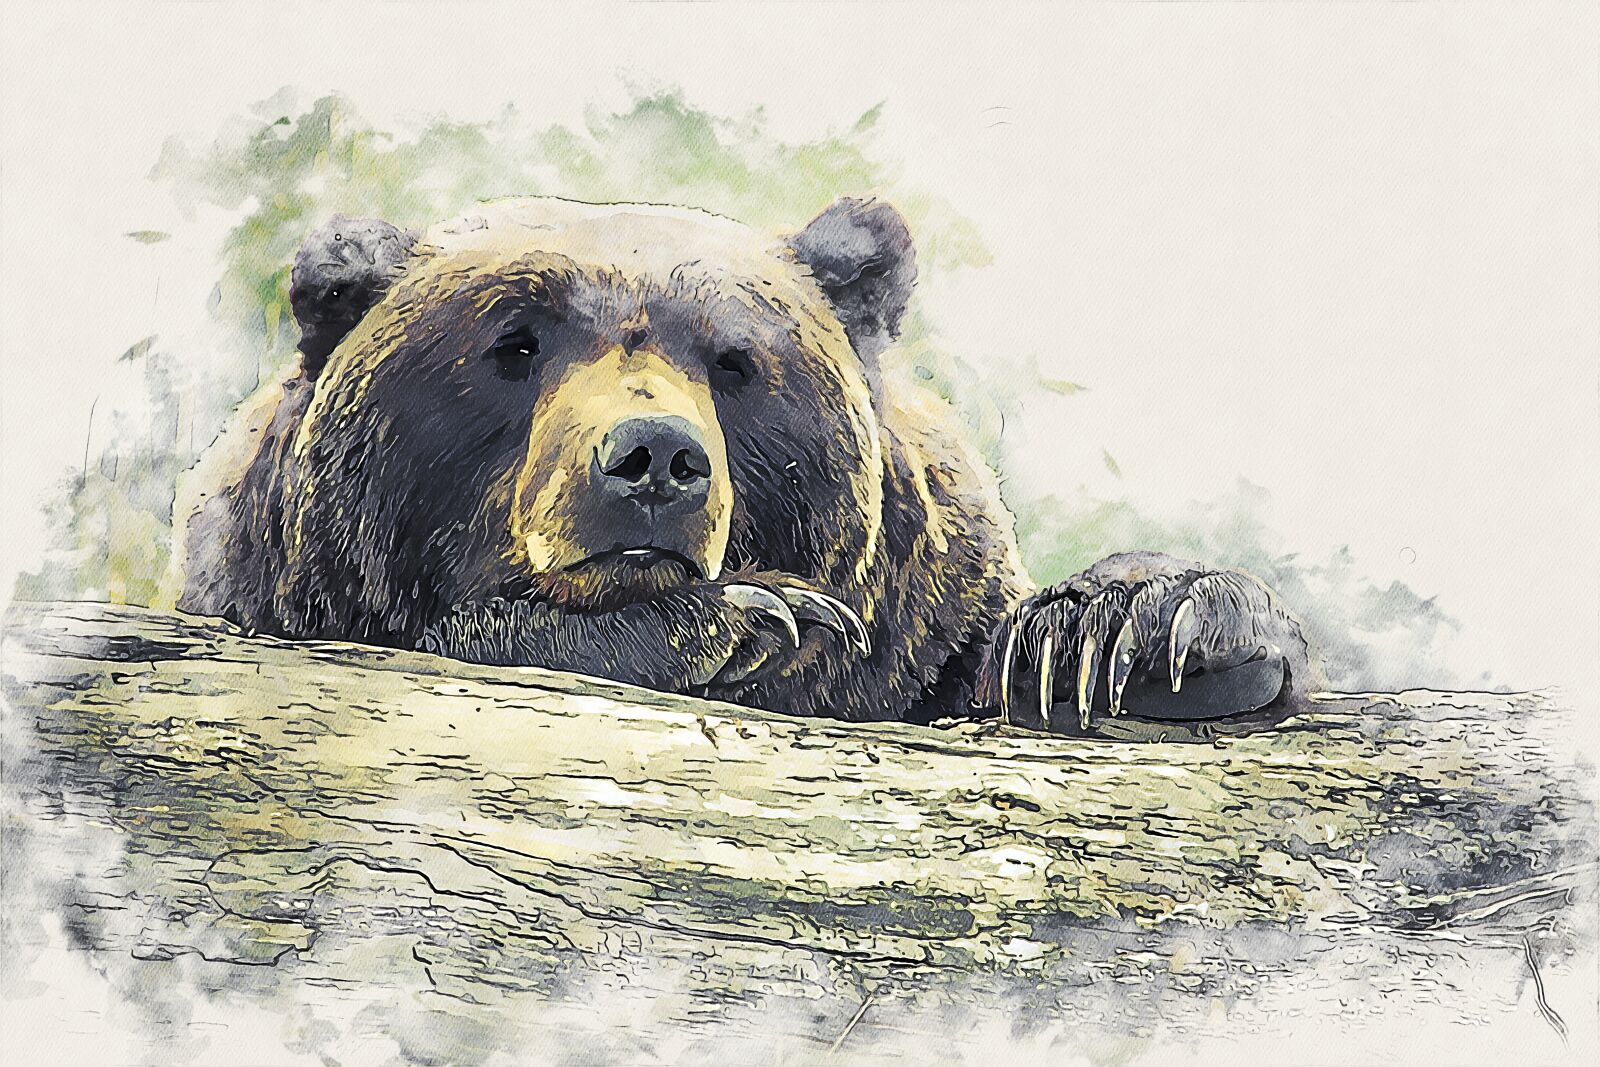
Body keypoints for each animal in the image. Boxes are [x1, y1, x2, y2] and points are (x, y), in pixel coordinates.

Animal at [162, 195, 1313, 736]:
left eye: (734, 360)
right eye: (514, 344)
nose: (654, 459)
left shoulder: (925, 622)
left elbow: (1003, 645)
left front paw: (1140, 628)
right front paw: (752, 617)